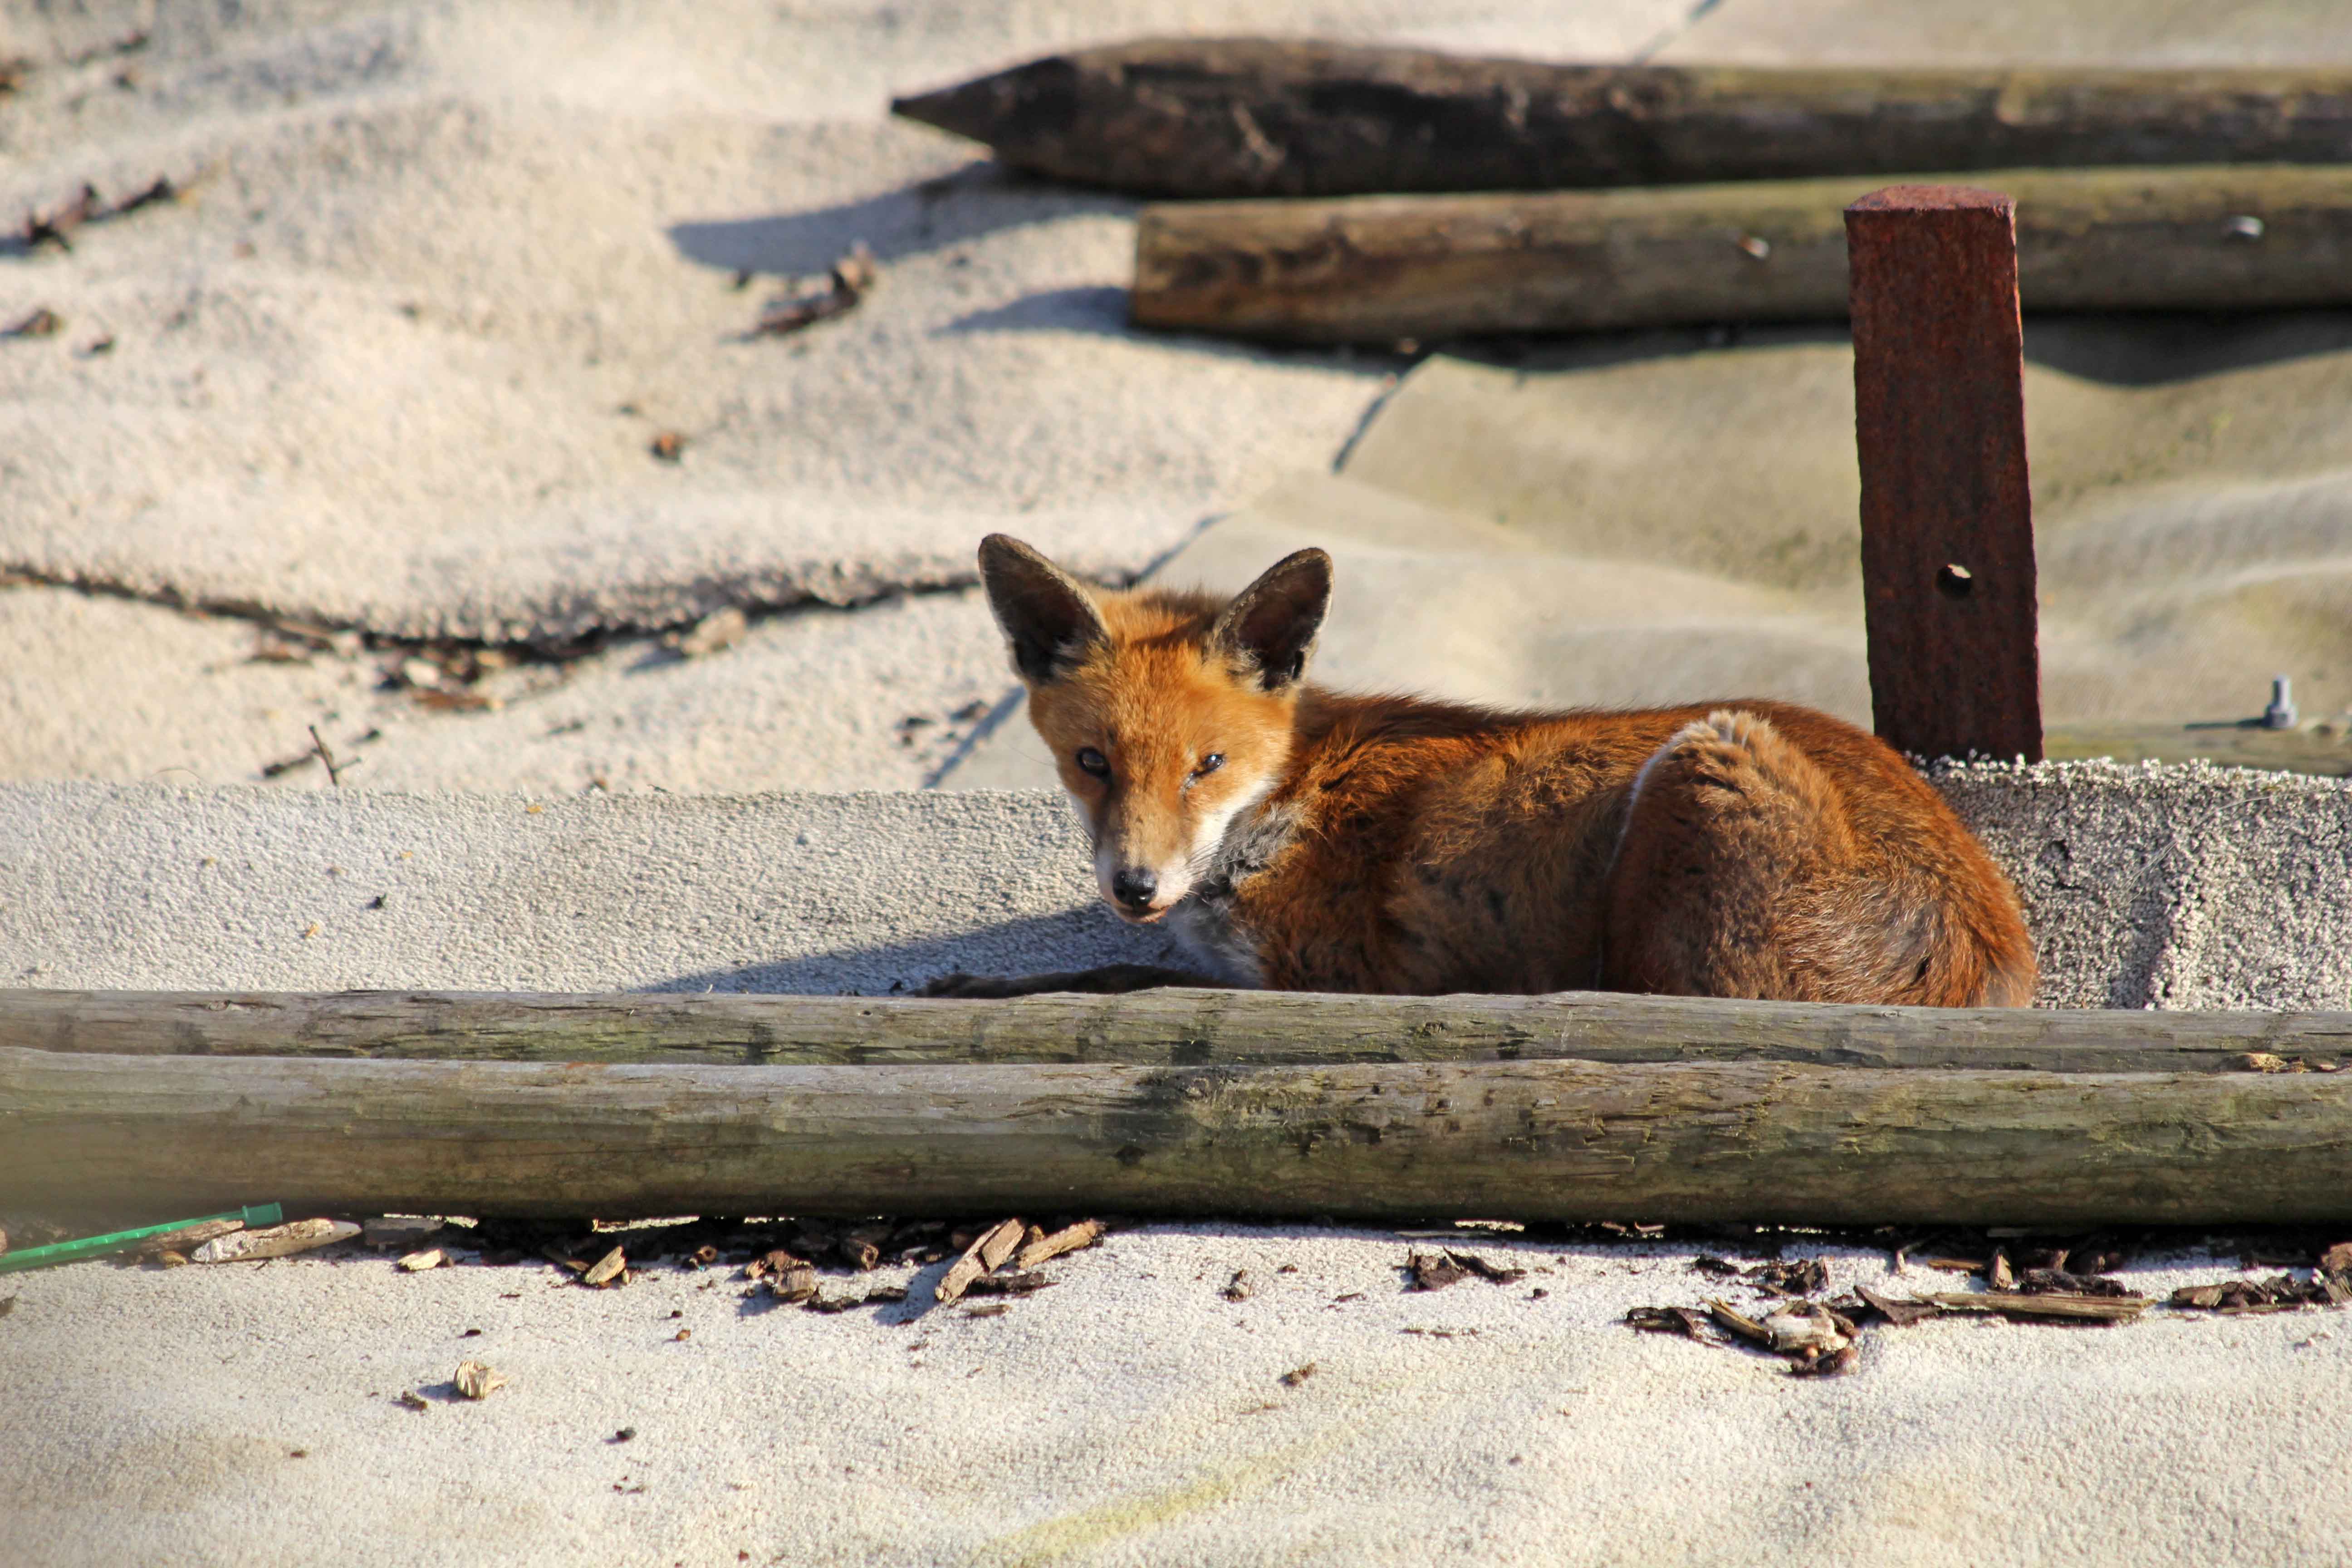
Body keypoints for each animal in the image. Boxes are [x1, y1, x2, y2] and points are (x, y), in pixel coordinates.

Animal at [924, 534, 2036, 1007]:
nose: (1135, 887)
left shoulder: (1331, 978)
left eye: (1207, 764)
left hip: (1705, 762)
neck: (1288, 797)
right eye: (1092, 763)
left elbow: (1115, 979)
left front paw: (986, 987)